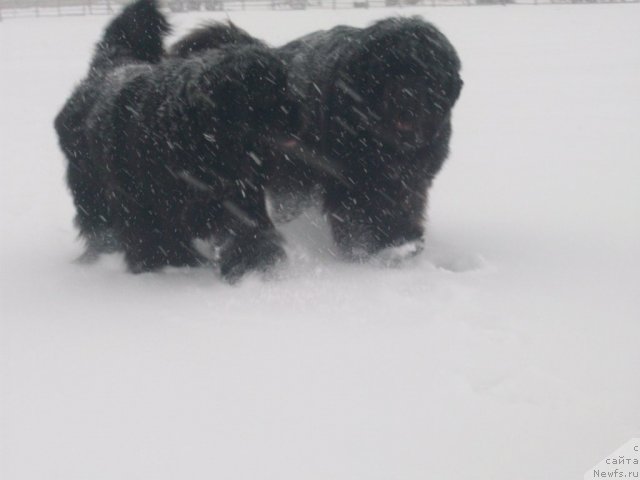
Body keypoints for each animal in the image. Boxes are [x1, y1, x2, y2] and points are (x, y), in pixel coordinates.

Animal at [54, 0, 298, 282]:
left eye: (286, 85)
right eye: (269, 93)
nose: (298, 116)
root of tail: (109, 67)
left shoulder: (238, 194)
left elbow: (249, 230)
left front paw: (255, 265)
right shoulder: (145, 206)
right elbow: (156, 241)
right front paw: (169, 267)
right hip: (91, 188)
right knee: (98, 224)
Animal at [172, 16, 462, 260]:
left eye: (427, 72)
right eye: (388, 68)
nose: (407, 96)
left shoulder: (411, 179)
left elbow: (403, 204)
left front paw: (404, 239)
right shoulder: (351, 179)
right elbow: (363, 211)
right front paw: (374, 246)